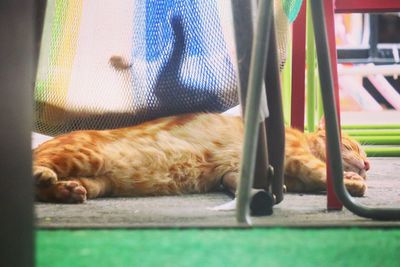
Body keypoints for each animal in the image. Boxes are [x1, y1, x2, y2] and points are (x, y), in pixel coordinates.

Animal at [34, 112, 368, 203]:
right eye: (352, 147)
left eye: (365, 153)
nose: (368, 163)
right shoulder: (296, 156)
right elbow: (321, 171)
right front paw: (351, 183)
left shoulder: (231, 173)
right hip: (86, 156)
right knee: (36, 172)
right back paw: (44, 175)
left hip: (99, 181)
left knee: (47, 191)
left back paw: (67, 190)